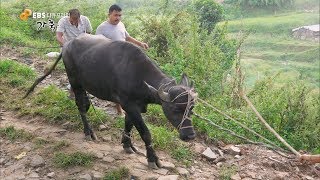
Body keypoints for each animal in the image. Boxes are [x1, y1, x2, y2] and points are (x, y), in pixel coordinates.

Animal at [23, 33, 196, 169]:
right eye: (175, 109)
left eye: (191, 109)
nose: (190, 135)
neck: (138, 76)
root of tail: (66, 46)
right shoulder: (129, 105)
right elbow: (145, 133)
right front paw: (153, 159)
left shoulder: (134, 106)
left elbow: (128, 125)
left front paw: (127, 144)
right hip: (75, 81)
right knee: (80, 106)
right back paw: (89, 132)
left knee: (85, 103)